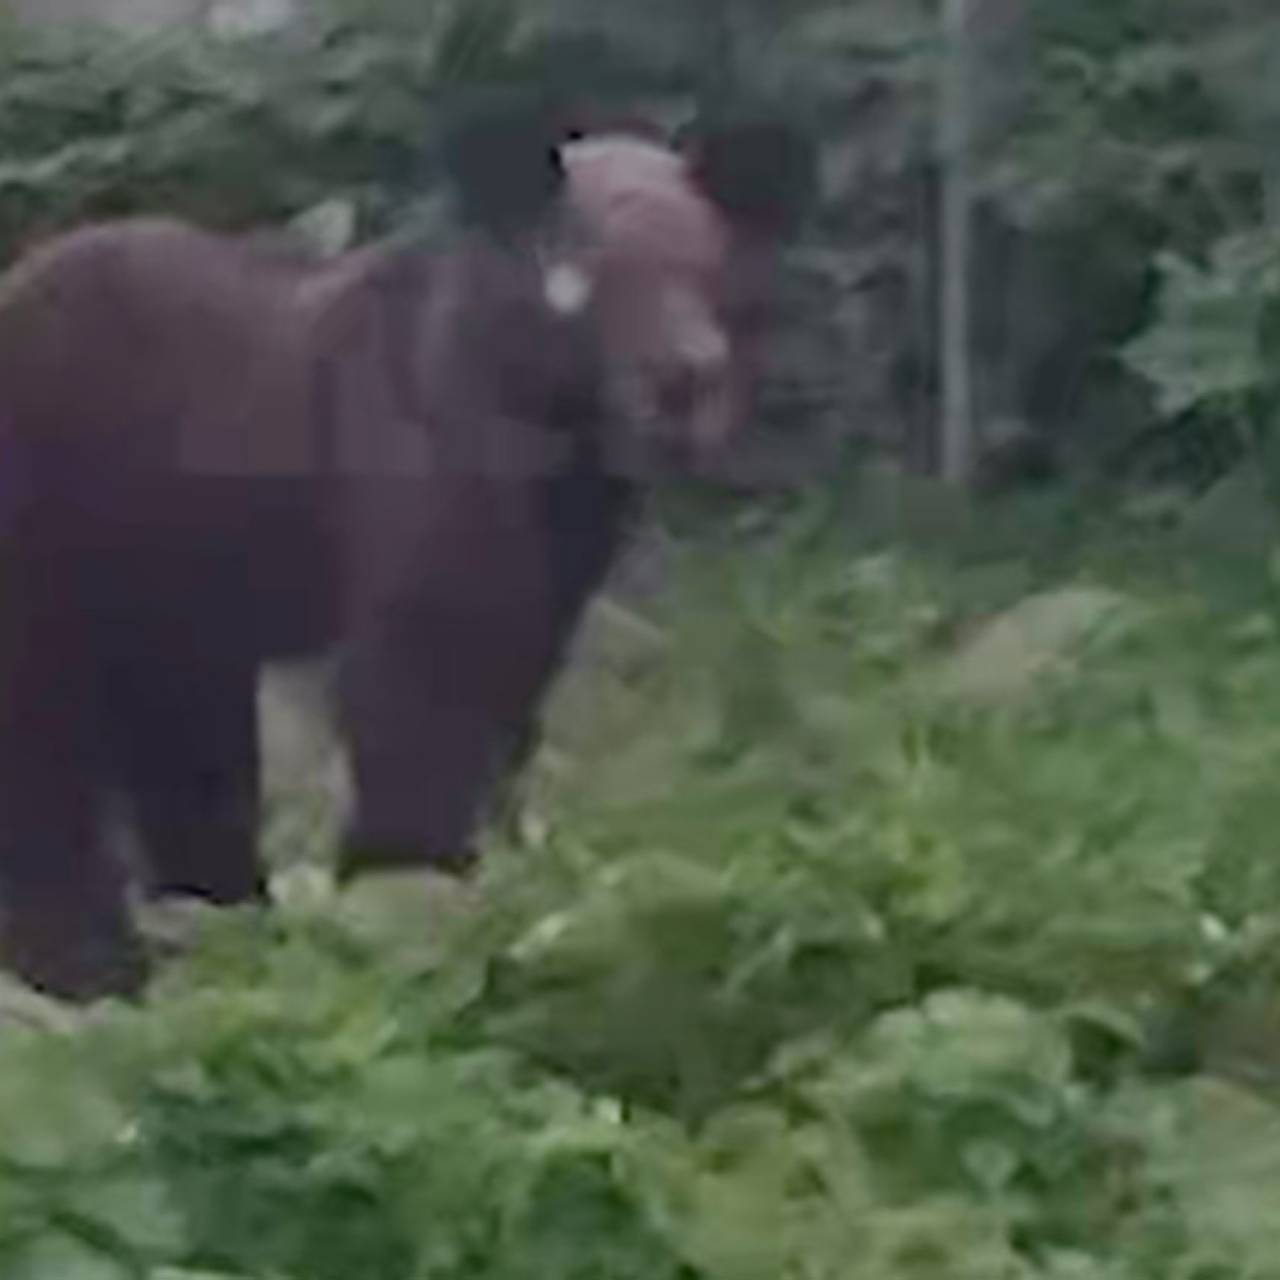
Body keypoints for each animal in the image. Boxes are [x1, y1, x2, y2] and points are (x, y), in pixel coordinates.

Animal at [0, 102, 814, 998]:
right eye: (580, 271)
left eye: (708, 261)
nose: (686, 379)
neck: (554, 457)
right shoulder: (422, 570)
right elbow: (415, 726)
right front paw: (407, 912)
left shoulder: (543, 605)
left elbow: (504, 732)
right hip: (51, 559)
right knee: (44, 755)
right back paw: (87, 965)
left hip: (170, 608)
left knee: (182, 756)